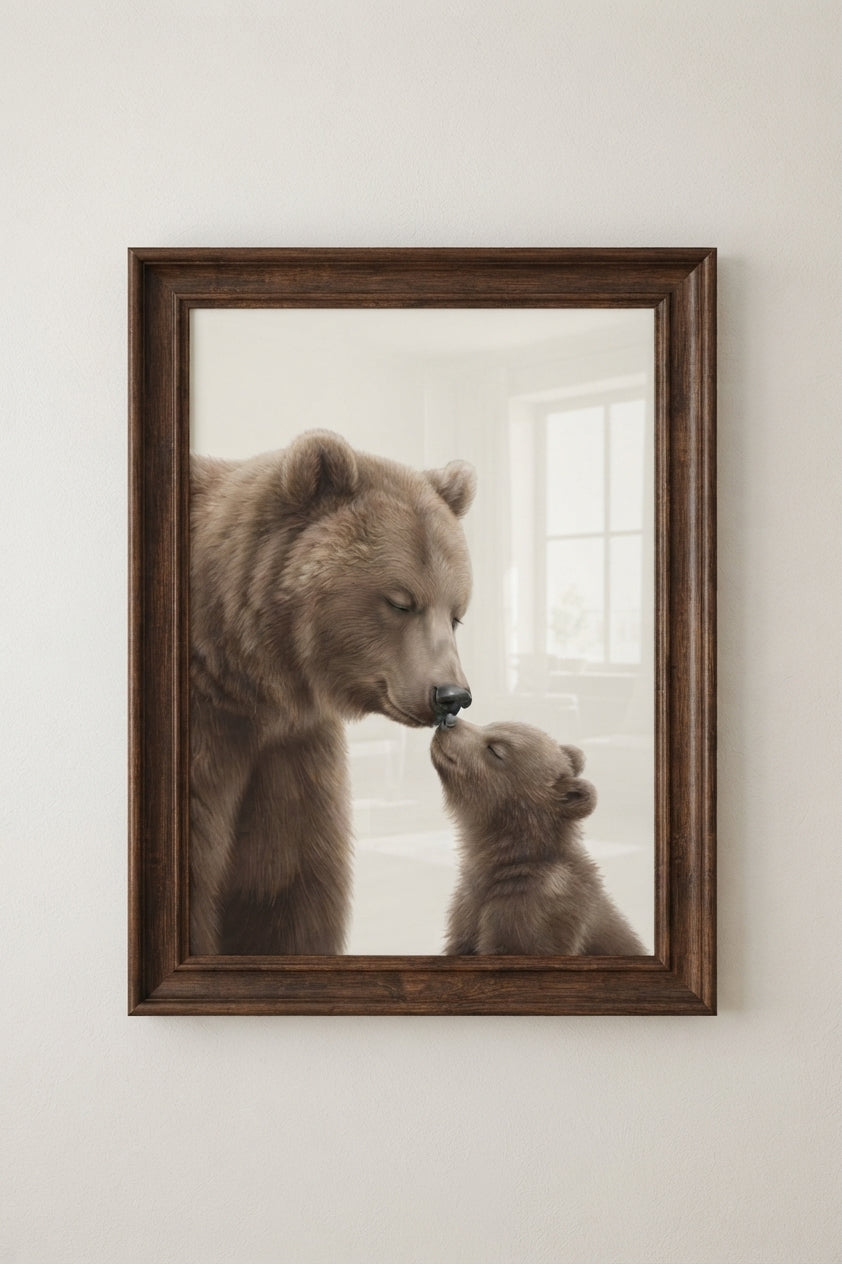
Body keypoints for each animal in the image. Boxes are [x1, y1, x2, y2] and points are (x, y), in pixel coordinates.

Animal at [189, 429, 476, 956]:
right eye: (400, 601)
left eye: (456, 612)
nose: (451, 696)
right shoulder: (211, 732)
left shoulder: (290, 751)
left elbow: (288, 887)